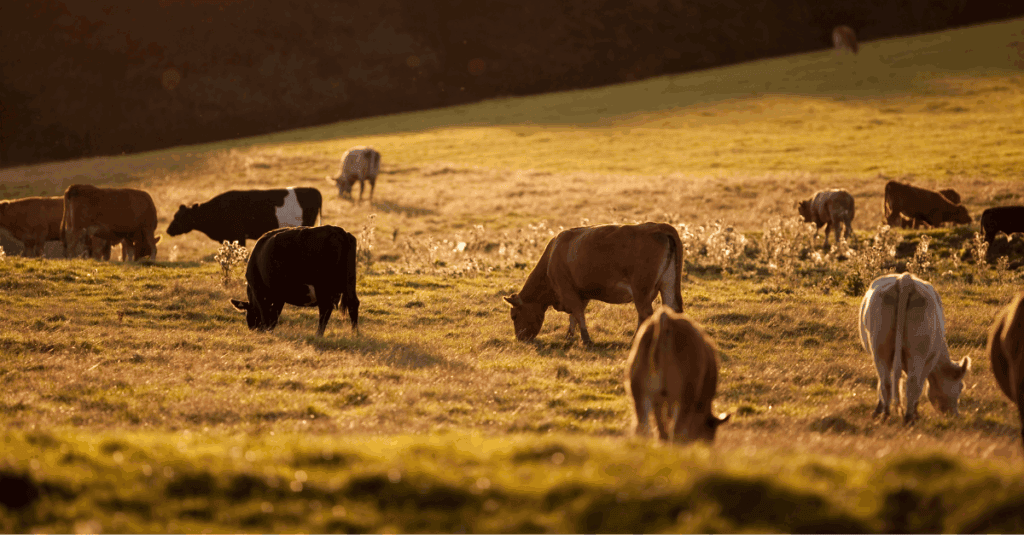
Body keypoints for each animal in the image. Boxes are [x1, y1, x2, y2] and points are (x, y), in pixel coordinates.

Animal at [229, 225, 359, 337]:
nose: (254, 329)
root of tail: (339, 231)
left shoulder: (261, 293)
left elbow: (266, 314)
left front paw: (267, 331)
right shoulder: (279, 296)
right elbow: (274, 315)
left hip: (323, 287)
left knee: (325, 308)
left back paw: (319, 334)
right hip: (349, 283)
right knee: (353, 304)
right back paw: (354, 333)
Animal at [503, 222, 683, 346]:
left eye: (514, 316)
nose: (520, 339)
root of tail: (655, 226)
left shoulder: (568, 291)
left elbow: (578, 314)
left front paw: (586, 340)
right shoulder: (581, 294)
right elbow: (574, 317)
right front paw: (569, 337)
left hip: (641, 292)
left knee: (645, 315)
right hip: (668, 286)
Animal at [858, 273, 971, 424]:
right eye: (960, 387)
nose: (955, 415)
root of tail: (905, 279)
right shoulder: (930, 360)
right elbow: (921, 385)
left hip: (880, 349)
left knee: (886, 382)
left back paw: (886, 414)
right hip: (917, 353)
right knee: (913, 382)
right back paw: (909, 417)